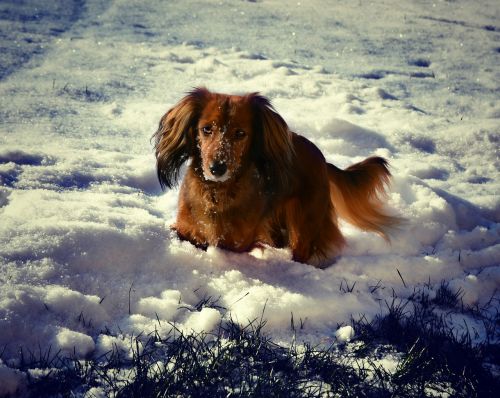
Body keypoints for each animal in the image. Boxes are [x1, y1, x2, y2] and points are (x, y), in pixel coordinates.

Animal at [152, 88, 398, 266]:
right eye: (206, 129)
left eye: (240, 133)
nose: (217, 168)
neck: (217, 193)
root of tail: (321, 158)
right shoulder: (187, 229)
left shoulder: (236, 242)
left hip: (303, 224)